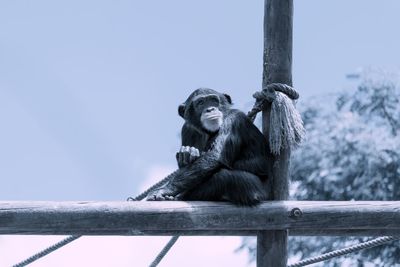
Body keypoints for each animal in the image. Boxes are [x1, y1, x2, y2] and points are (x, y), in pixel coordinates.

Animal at [145, 89, 274, 206]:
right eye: (200, 103)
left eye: (213, 100)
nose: (210, 109)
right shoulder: (187, 128)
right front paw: (187, 155)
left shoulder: (234, 119)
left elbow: (215, 155)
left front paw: (164, 190)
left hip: (260, 192)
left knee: (223, 177)